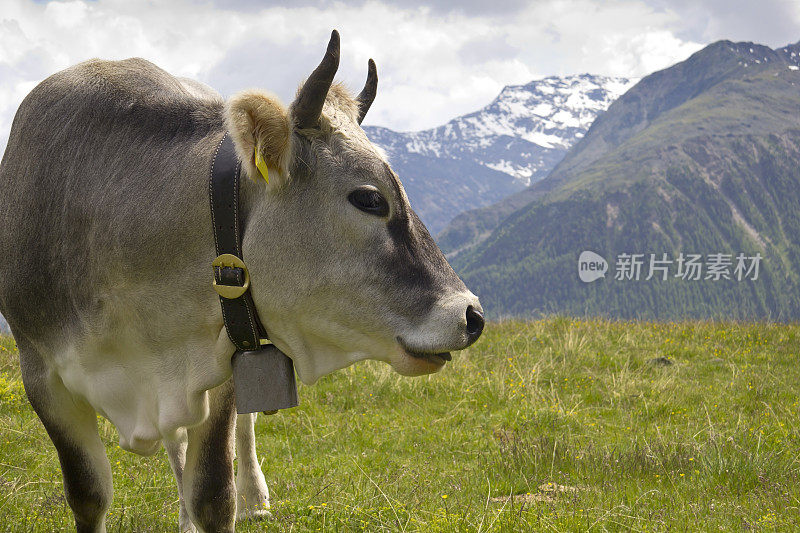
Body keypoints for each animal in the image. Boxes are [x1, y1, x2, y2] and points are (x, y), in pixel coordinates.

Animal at [0, 30, 484, 532]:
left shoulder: (223, 350)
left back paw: (255, 498)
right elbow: (89, 494)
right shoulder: (41, 376)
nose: (471, 314)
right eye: (370, 199)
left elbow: (215, 491)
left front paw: (231, 500)